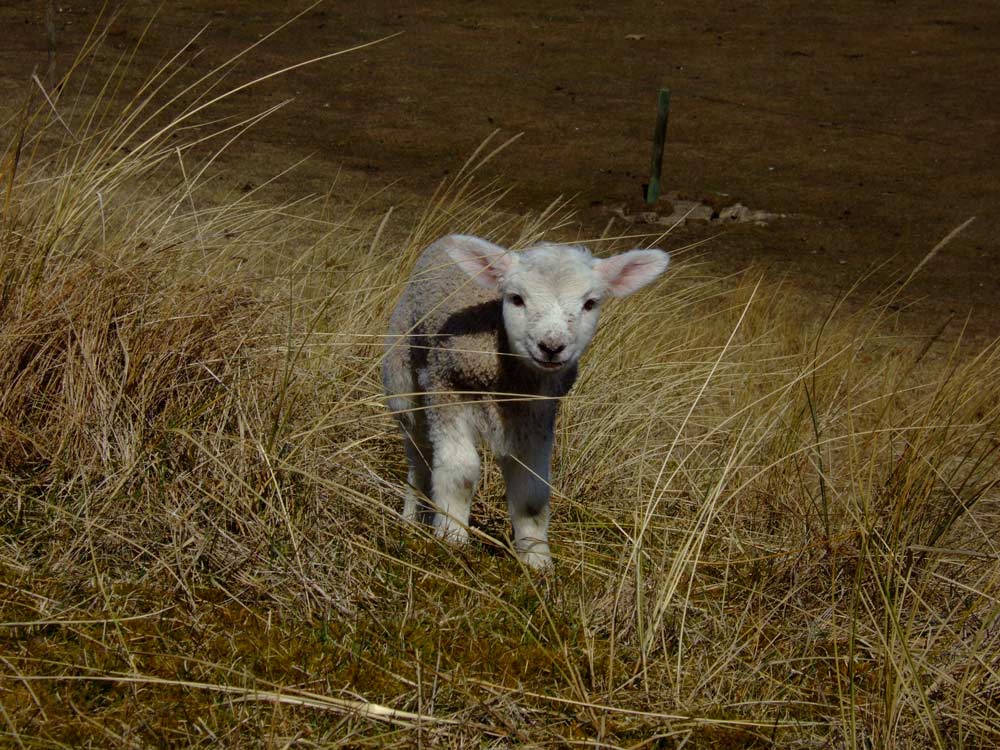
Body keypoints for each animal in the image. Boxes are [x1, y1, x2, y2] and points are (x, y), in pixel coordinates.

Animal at [382, 235, 672, 568]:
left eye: (590, 303)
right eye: (516, 299)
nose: (552, 347)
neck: (508, 382)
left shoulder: (536, 418)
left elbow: (533, 493)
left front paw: (537, 560)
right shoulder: (446, 392)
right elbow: (460, 473)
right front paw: (451, 538)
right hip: (404, 384)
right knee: (419, 454)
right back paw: (412, 516)